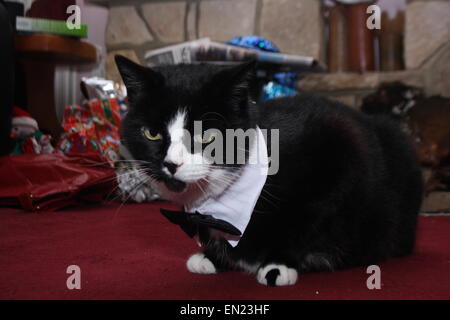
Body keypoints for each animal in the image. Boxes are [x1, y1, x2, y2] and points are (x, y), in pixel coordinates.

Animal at [114, 55, 424, 288]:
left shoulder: (339, 148)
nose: (171, 164)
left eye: (207, 136)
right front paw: (212, 256)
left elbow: (307, 217)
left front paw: (278, 263)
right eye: (152, 133)